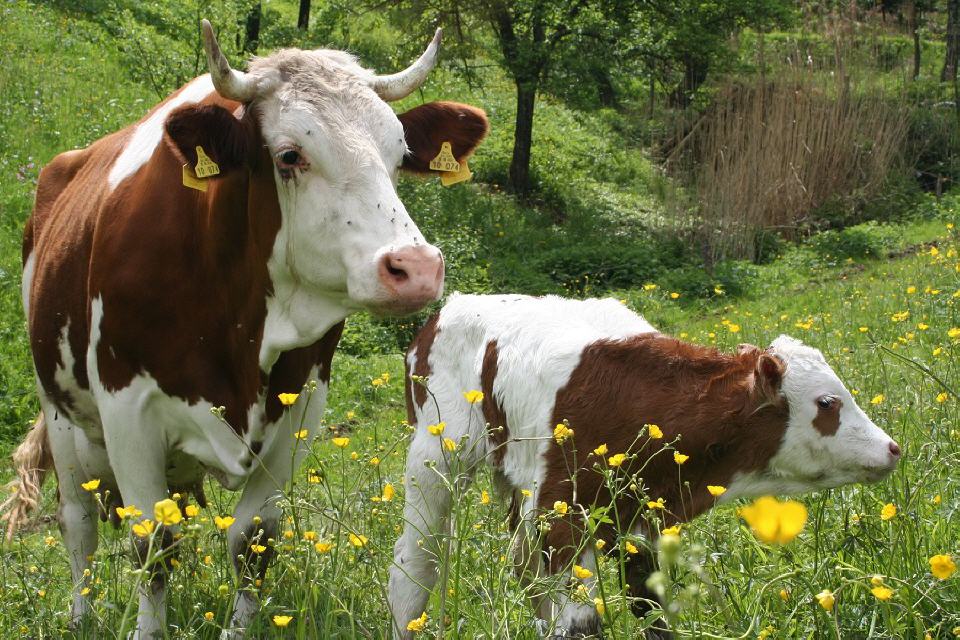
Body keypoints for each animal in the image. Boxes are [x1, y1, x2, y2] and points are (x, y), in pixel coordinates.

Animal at [2, 20, 488, 639]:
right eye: (290, 155)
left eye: (399, 153)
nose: (416, 267)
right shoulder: (126, 406)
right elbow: (153, 543)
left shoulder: (301, 402)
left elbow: (253, 540)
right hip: (61, 412)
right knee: (77, 523)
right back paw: (81, 613)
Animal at [389, 293, 901, 638]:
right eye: (828, 402)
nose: (892, 448)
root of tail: (450, 306)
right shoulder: (560, 513)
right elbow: (582, 620)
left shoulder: (637, 517)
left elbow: (649, 604)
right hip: (435, 459)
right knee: (414, 564)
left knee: (524, 572)